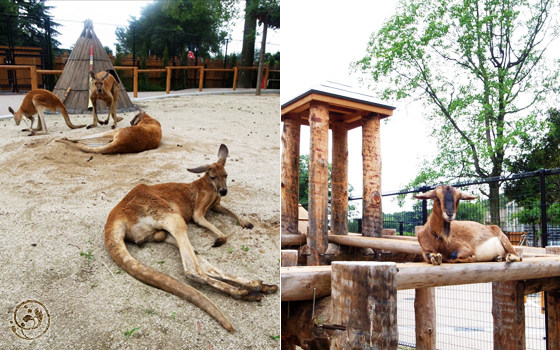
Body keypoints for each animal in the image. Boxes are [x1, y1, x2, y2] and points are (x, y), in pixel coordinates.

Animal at [103, 143, 278, 330]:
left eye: (226, 175)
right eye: (213, 176)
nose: (223, 191)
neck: (207, 185)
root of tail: (115, 214)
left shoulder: (216, 204)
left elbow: (229, 213)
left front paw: (245, 223)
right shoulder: (198, 211)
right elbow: (209, 224)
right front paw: (220, 238)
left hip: (165, 231)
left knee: (200, 260)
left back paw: (259, 286)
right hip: (169, 215)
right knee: (192, 270)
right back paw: (244, 292)